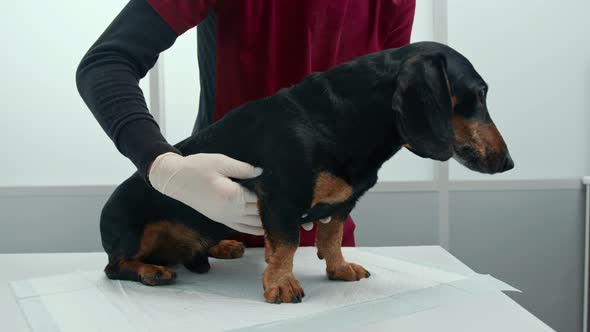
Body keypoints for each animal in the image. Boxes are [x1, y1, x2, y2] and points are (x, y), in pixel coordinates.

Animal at [100, 40, 512, 304]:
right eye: (479, 95)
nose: (508, 163)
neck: (339, 121)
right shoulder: (281, 198)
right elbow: (289, 243)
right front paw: (282, 285)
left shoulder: (343, 203)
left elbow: (330, 239)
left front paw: (340, 268)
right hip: (131, 229)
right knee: (114, 267)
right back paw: (150, 271)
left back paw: (222, 245)